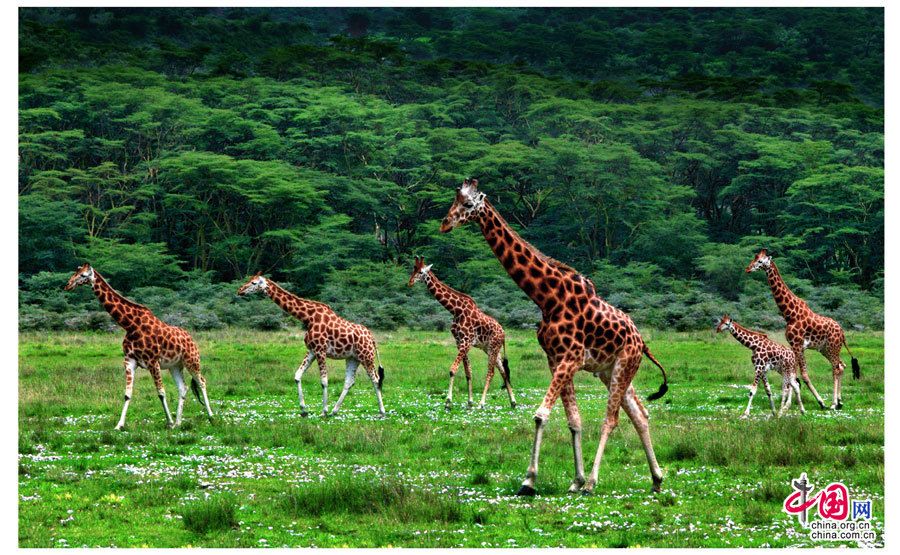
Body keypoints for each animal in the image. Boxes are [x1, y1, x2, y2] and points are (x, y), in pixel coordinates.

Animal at [63, 264, 214, 430]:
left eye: (83, 275)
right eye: (75, 273)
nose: (67, 285)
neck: (130, 325)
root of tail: (192, 339)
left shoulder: (153, 362)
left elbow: (161, 392)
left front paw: (168, 422)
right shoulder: (129, 361)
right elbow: (127, 394)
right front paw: (119, 425)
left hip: (192, 360)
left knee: (202, 382)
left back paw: (211, 417)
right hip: (175, 365)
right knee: (183, 387)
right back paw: (178, 423)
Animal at [237, 274, 384, 416]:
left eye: (254, 283)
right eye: (249, 280)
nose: (240, 290)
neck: (307, 317)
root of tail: (372, 338)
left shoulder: (320, 350)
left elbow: (324, 381)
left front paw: (323, 411)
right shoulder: (312, 350)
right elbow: (297, 376)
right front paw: (304, 410)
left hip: (366, 356)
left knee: (376, 379)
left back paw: (381, 412)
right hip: (353, 358)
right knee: (349, 381)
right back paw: (334, 411)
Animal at [406, 258, 516, 410]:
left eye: (421, 272)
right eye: (413, 270)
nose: (410, 282)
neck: (455, 310)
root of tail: (504, 333)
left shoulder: (466, 342)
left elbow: (453, 370)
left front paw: (448, 402)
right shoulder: (459, 342)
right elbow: (468, 372)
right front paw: (469, 402)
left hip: (493, 347)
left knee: (491, 372)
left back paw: (482, 403)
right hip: (490, 348)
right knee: (503, 371)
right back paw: (513, 402)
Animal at [442, 178, 668, 496]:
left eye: (468, 203)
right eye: (454, 200)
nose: (445, 223)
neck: (547, 298)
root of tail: (642, 342)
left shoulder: (569, 359)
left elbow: (541, 415)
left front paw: (530, 481)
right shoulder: (555, 360)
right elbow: (573, 420)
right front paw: (575, 480)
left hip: (623, 365)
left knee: (611, 419)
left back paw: (595, 483)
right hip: (611, 370)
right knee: (640, 414)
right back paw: (656, 479)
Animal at [740, 250, 860, 410]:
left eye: (760, 261)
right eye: (754, 258)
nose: (747, 269)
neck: (789, 314)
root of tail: (842, 332)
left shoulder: (798, 345)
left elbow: (803, 374)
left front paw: (821, 402)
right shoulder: (793, 346)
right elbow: (794, 374)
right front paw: (790, 404)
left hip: (832, 347)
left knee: (836, 368)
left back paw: (834, 403)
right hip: (826, 349)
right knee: (842, 365)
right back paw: (840, 401)